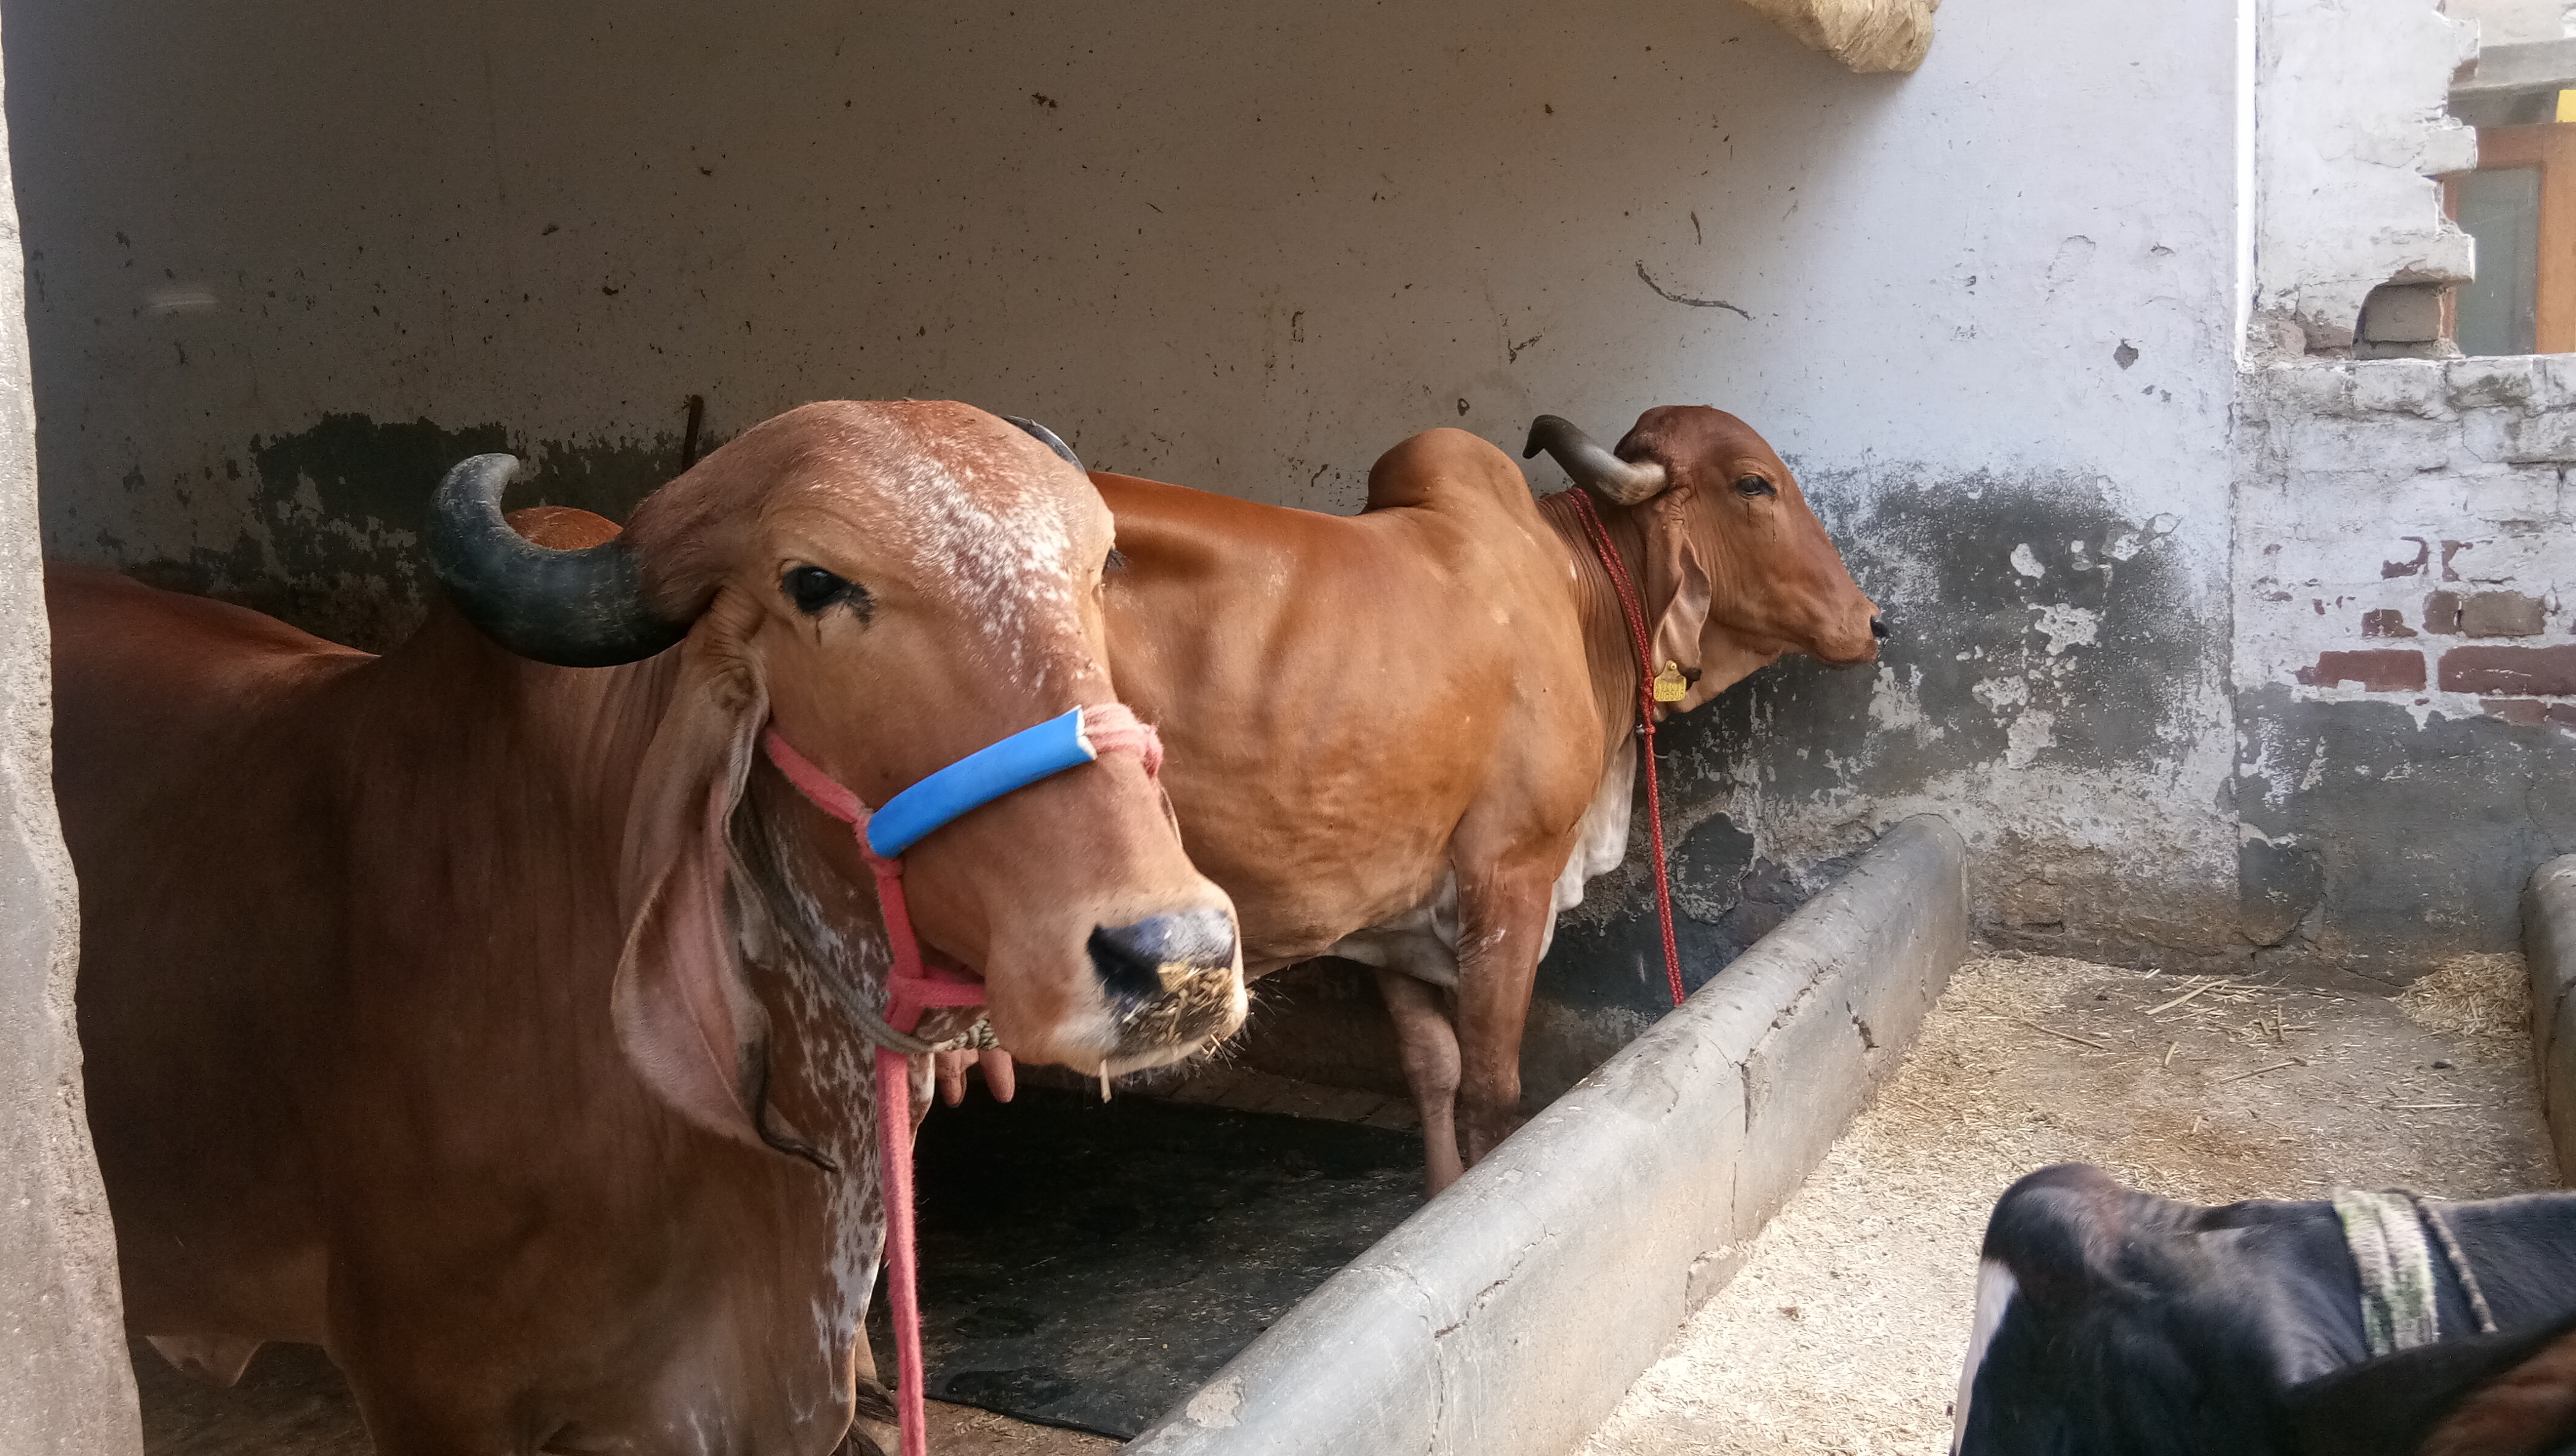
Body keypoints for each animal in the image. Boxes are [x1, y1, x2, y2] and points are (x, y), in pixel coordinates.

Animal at [964, 406, 1878, 1190]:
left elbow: (1432, 1070)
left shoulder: (1392, 909)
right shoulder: (1509, 879)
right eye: (1754, 484)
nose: (1872, 620)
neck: (1572, 592)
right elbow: (1491, 1089)